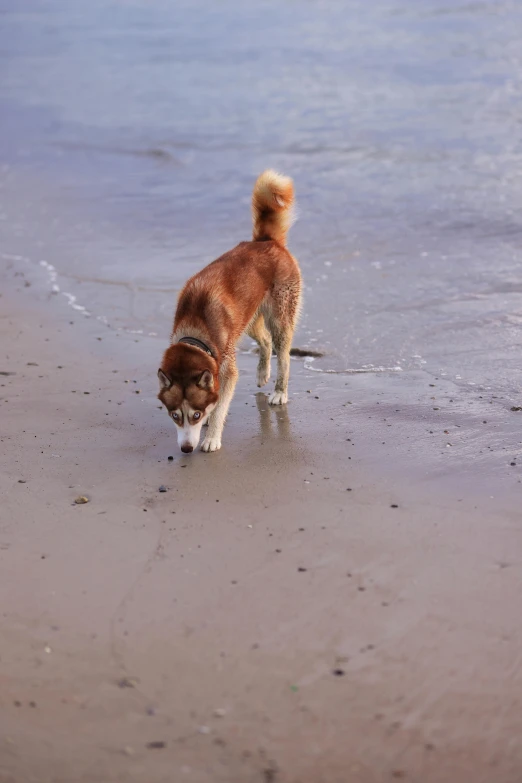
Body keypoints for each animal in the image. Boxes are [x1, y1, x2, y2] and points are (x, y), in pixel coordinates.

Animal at [156, 172, 298, 454]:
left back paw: (280, 391)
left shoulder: (226, 367)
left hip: (280, 314)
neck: (196, 329)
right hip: (248, 319)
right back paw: (262, 373)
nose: (186, 449)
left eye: (195, 414)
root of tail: (266, 241)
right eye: (174, 415)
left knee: (283, 353)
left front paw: (211, 436)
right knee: (265, 341)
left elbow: (221, 405)